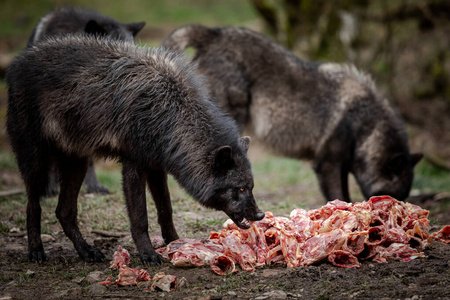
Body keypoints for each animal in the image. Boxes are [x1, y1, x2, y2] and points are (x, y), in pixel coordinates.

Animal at [5, 35, 264, 264]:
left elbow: (166, 210)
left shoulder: (156, 168)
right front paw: (148, 254)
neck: (170, 112)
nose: (260, 215)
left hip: (77, 165)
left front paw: (175, 243)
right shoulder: (133, 166)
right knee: (33, 206)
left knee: (63, 212)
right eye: (240, 188)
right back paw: (36, 252)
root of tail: (18, 63)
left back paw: (87, 252)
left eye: (251, 187)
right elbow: (140, 218)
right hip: (36, 163)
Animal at [163, 25, 424, 203]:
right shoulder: (327, 165)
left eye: (401, 198)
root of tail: (214, 33)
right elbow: (339, 197)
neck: (365, 125)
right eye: (388, 196)